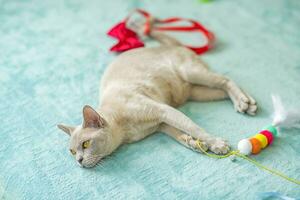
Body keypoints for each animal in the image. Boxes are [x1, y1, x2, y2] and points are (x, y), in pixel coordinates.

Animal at [57, 20, 256, 167]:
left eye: (85, 144)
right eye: (72, 152)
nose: (79, 161)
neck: (125, 132)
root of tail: (173, 46)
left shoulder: (164, 111)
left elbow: (195, 128)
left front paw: (216, 144)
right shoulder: (162, 123)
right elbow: (179, 134)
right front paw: (193, 143)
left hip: (190, 73)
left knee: (225, 79)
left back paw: (245, 103)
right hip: (196, 92)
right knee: (223, 88)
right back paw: (246, 103)